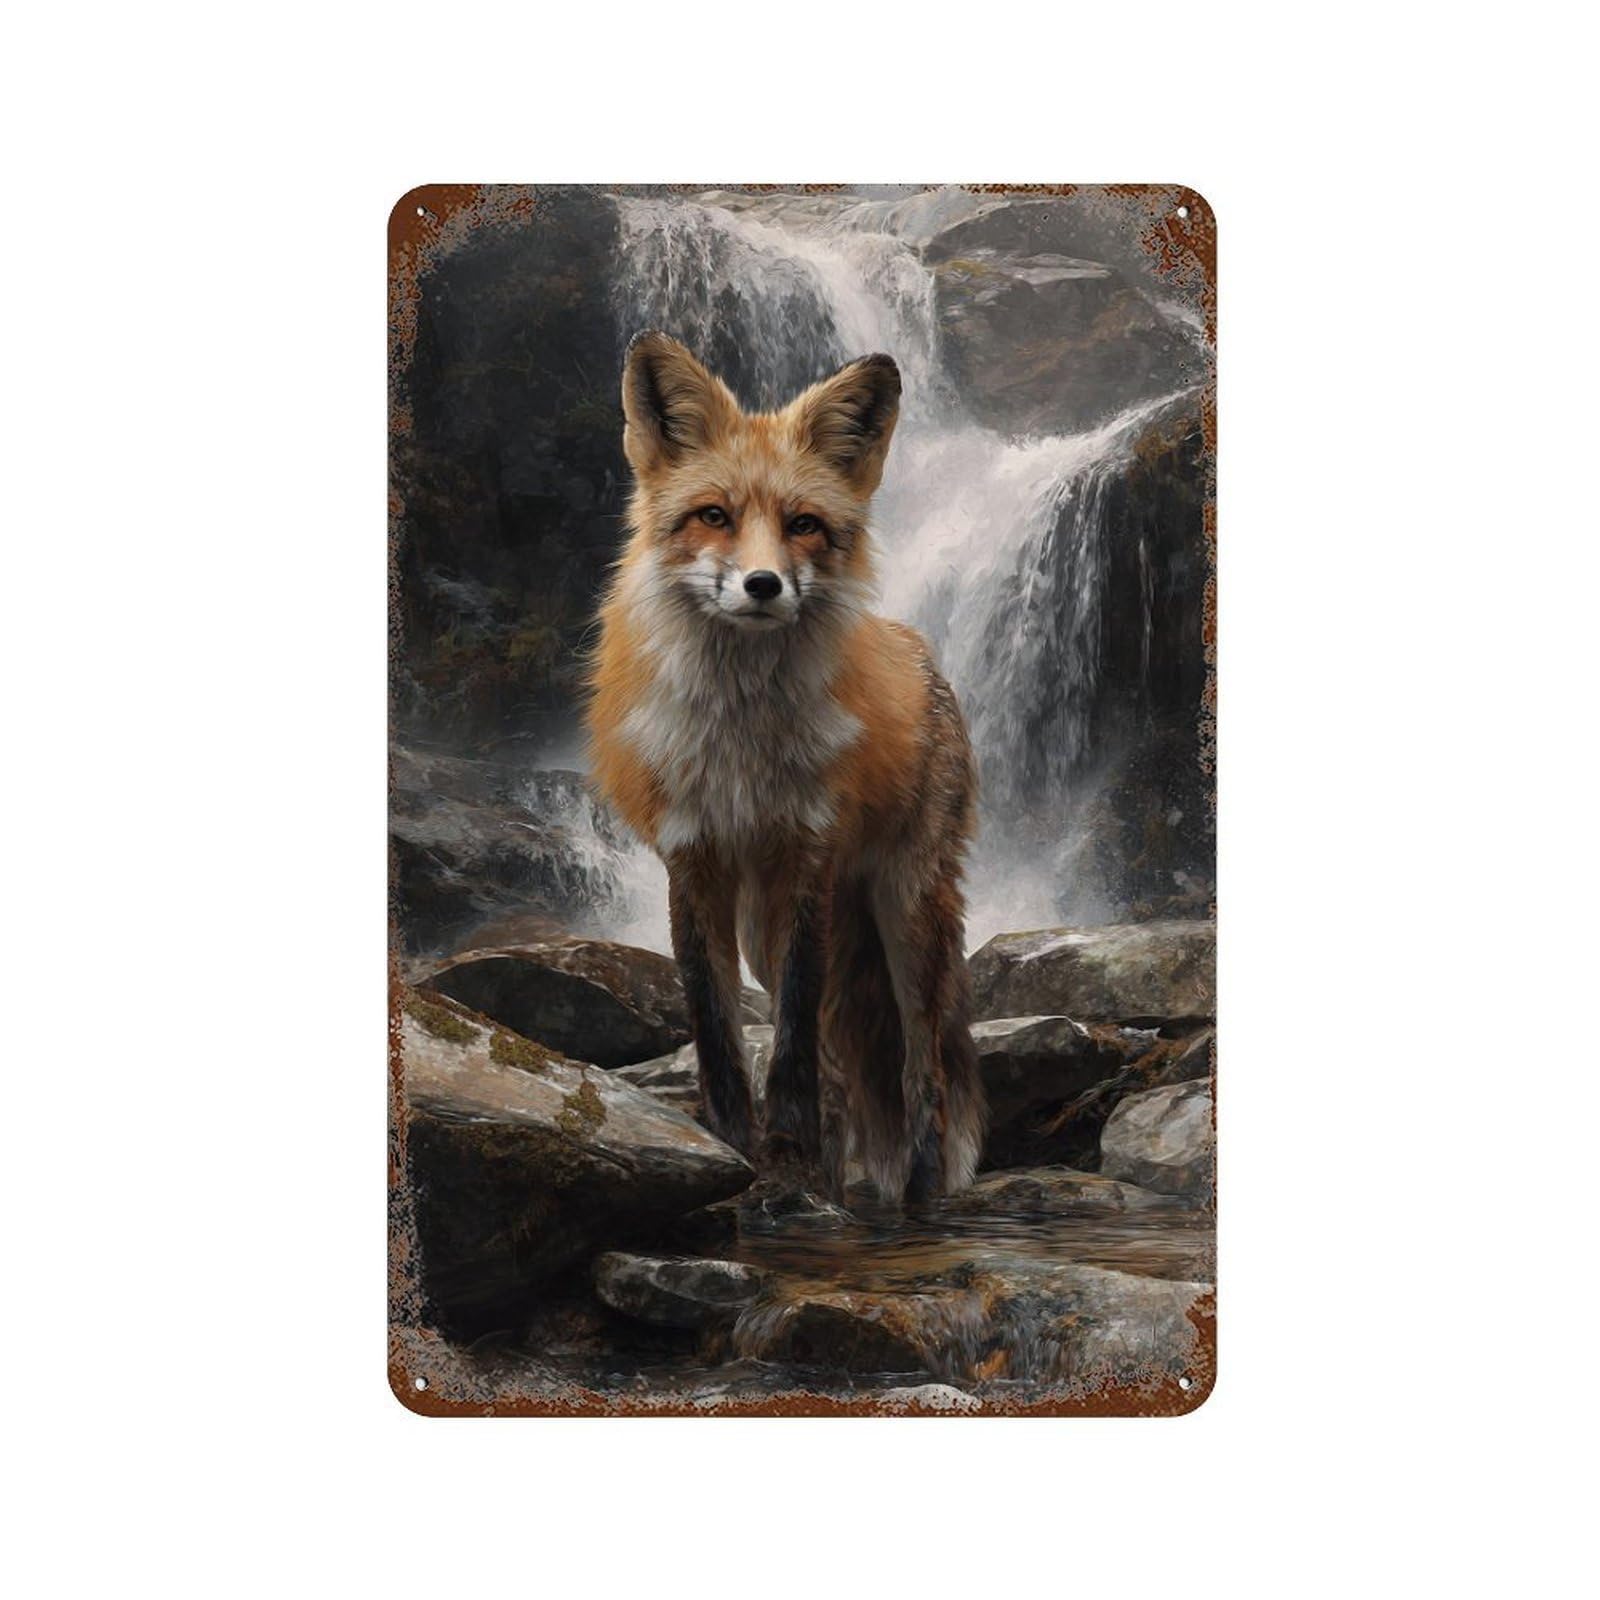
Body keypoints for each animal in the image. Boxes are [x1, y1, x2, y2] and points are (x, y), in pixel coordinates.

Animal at [585, 331, 986, 1203]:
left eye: (803, 524)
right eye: (714, 516)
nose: (762, 584)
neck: (741, 740)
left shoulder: (808, 854)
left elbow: (796, 1037)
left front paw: (788, 1151)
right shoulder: (693, 857)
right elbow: (716, 1025)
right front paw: (735, 1147)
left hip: (905, 910)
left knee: (924, 1071)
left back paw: (920, 1193)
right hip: (767, 926)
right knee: (848, 1064)